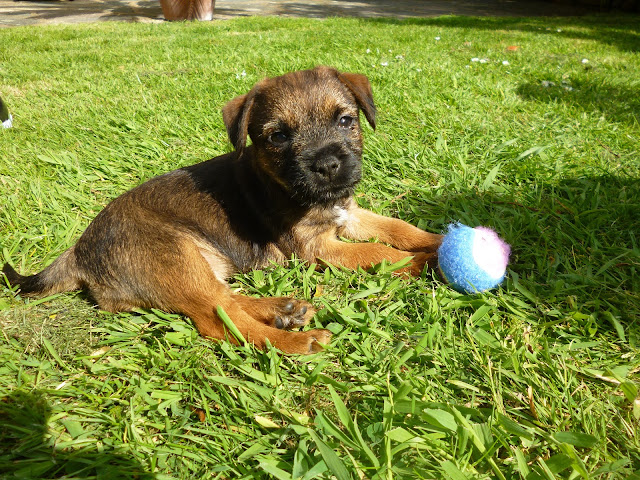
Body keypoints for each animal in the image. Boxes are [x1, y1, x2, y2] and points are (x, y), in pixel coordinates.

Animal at [2, 65, 442, 354]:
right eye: (278, 137)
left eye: (346, 120)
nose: (328, 165)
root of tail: (79, 251)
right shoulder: (318, 248)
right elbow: (379, 253)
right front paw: (428, 262)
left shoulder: (349, 214)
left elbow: (399, 228)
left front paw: (442, 238)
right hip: (174, 259)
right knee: (219, 320)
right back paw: (293, 340)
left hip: (198, 265)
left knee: (225, 300)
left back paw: (284, 310)